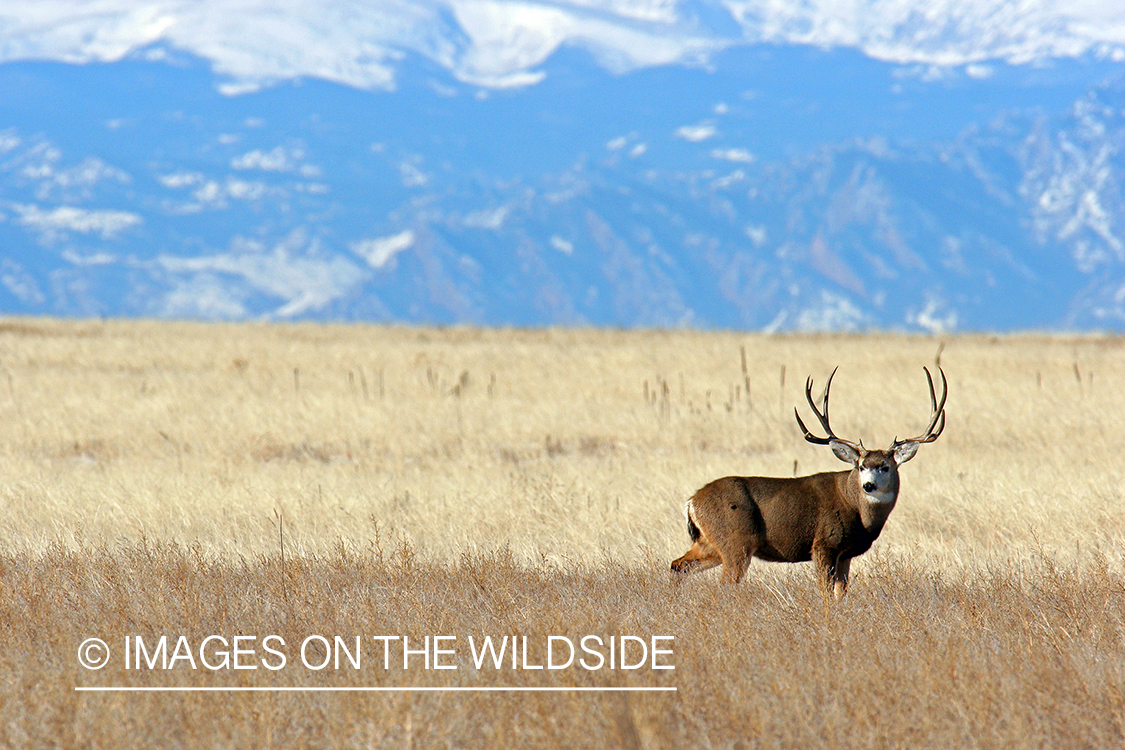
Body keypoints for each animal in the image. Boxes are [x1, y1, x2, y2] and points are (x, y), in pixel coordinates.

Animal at [670, 366, 947, 599]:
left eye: (885, 466)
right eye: (861, 466)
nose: (868, 486)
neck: (856, 508)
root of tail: (691, 502)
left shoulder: (845, 554)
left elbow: (841, 594)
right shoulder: (823, 544)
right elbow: (825, 593)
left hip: (709, 543)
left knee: (677, 565)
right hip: (735, 542)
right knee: (724, 583)